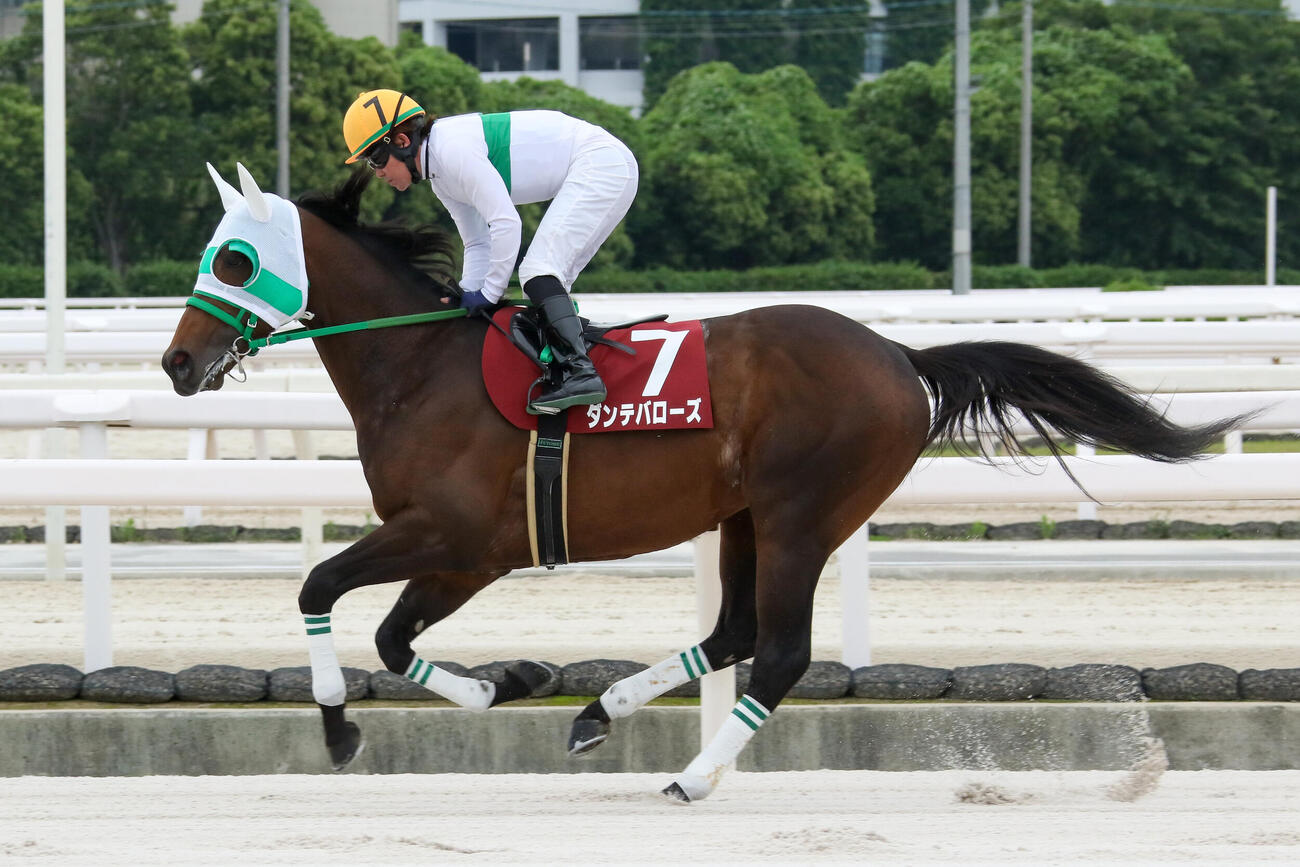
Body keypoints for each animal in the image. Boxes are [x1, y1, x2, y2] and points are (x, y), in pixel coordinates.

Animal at [163, 163, 1248, 802]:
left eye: (234, 256)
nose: (177, 364)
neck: (419, 366)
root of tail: (899, 357)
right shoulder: (468, 552)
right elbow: (391, 637)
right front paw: (514, 681)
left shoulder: (459, 536)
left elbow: (322, 590)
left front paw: (340, 727)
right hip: (744, 516)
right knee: (731, 632)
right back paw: (602, 714)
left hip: (805, 512)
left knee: (779, 651)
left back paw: (691, 774)